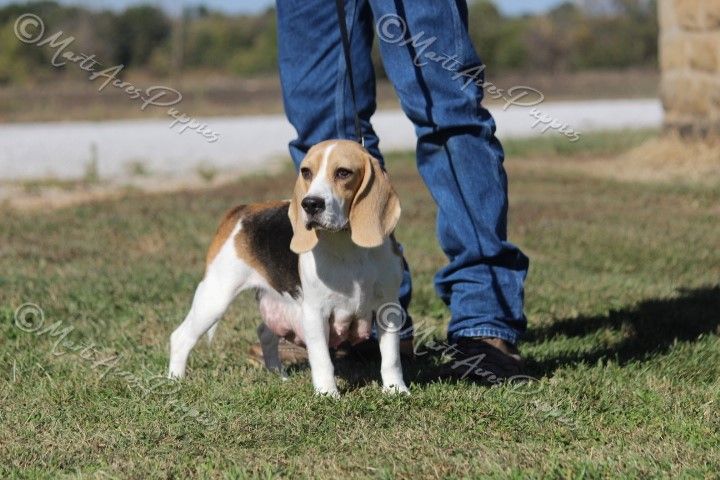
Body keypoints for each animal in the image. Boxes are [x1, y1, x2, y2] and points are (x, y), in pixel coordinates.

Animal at [168, 140, 409, 396]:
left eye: (343, 173)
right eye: (306, 172)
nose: (310, 204)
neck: (347, 245)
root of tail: (241, 210)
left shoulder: (388, 309)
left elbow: (391, 358)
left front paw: (396, 389)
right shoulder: (315, 313)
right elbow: (322, 359)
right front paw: (327, 394)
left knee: (265, 334)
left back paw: (278, 375)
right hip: (215, 298)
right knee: (179, 337)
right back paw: (175, 380)